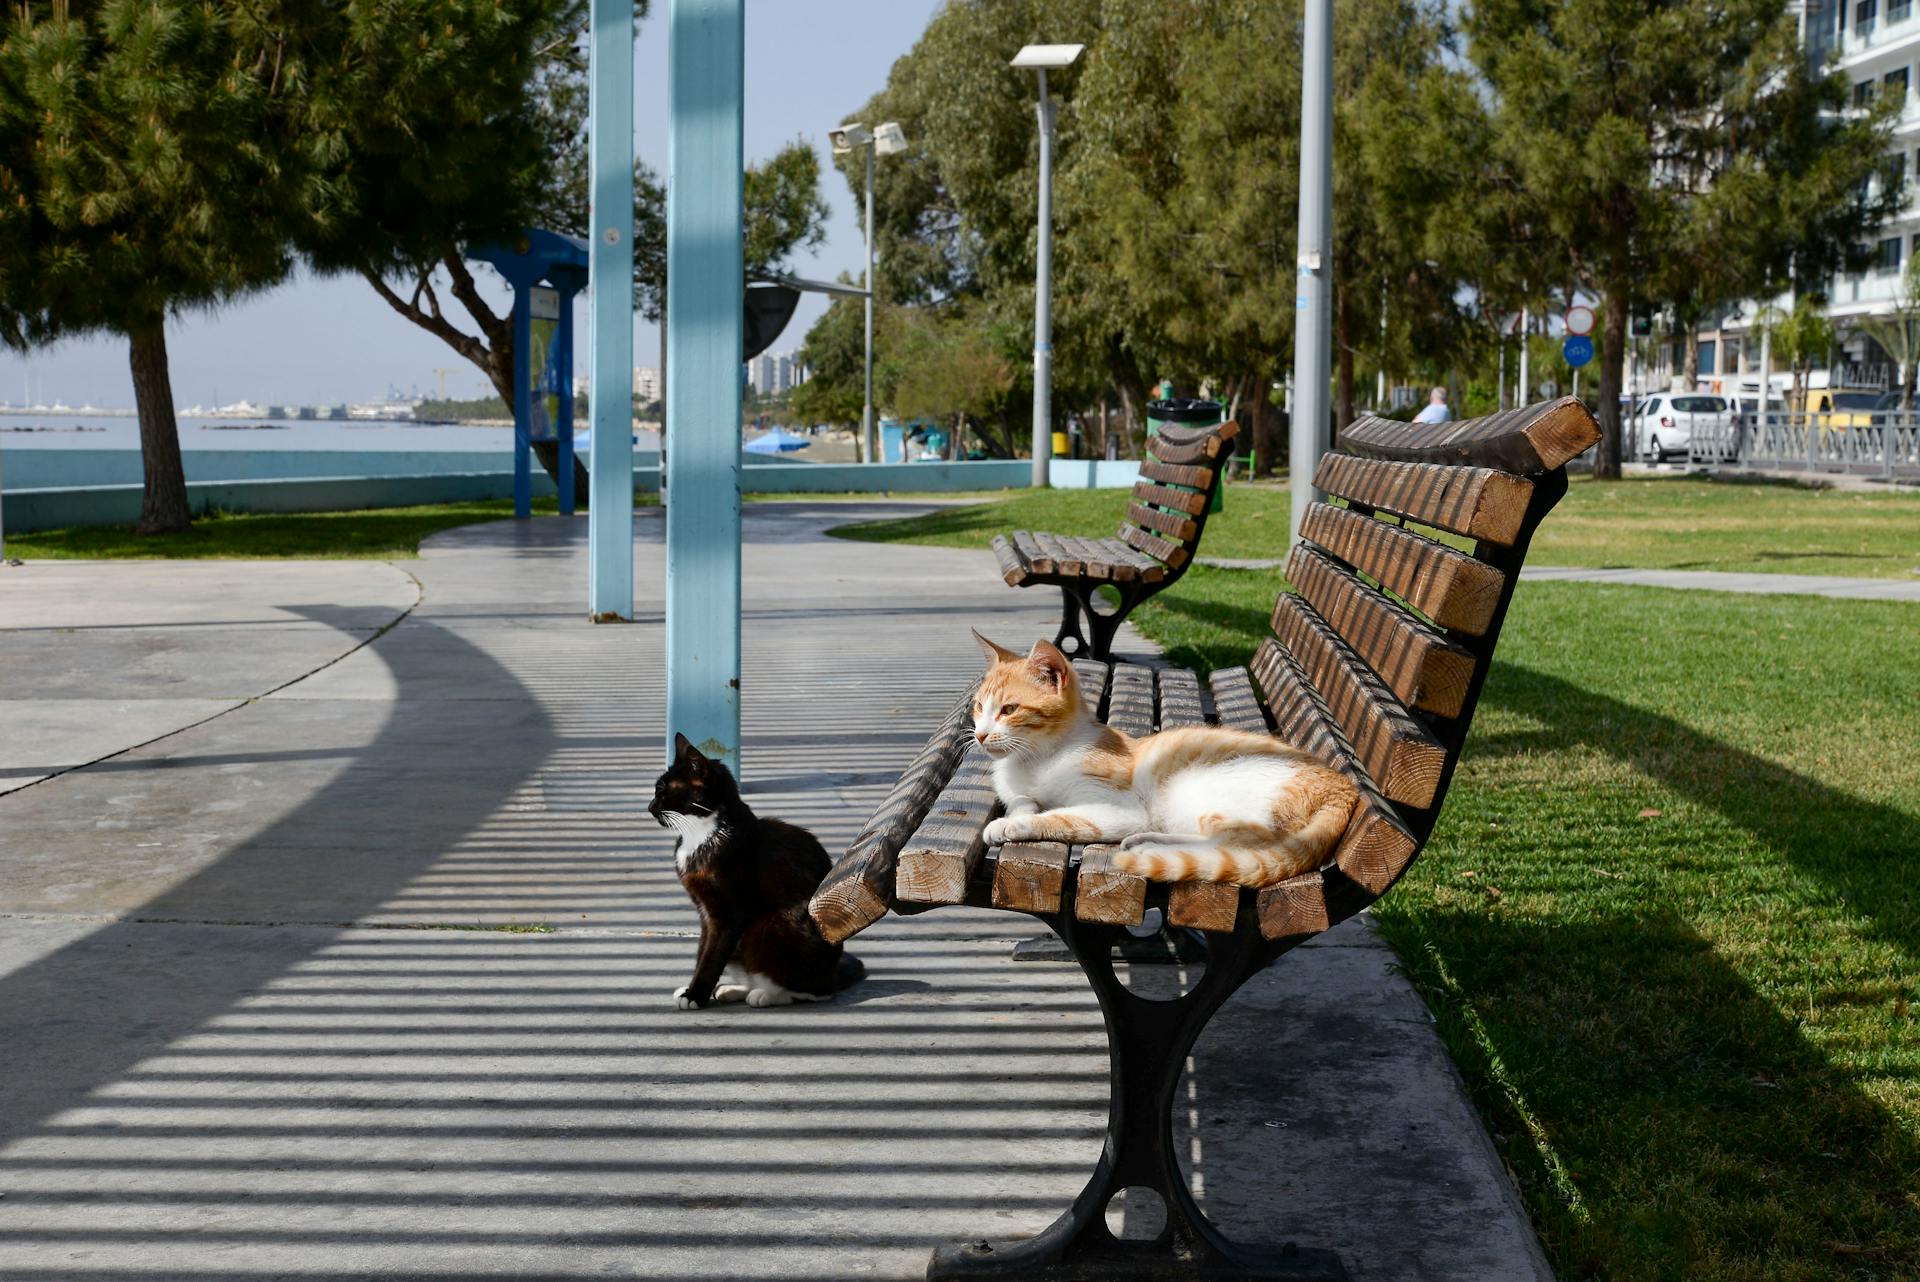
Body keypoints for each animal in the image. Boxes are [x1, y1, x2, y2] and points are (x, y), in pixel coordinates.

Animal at [652, 736, 864, 1005]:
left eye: (663, 790)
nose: (649, 806)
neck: (700, 834)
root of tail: (832, 972)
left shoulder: (730, 914)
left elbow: (712, 955)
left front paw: (695, 996)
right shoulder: (705, 912)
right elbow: (703, 950)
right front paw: (694, 990)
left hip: (771, 926)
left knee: (815, 992)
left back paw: (766, 995)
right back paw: (734, 989)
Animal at [967, 633, 1359, 890]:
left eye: (1009, 709)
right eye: (979, 706)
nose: (981, 735)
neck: (1035, 758)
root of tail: (1343, 785)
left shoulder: (1118, 809)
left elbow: (1060, 817)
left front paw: (1008, 825)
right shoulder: (1018, 788)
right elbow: (1022, 801)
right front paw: (1019, 811)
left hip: (1201, 790)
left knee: (1241, 842)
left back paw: (1150, 847)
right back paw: (1147, 841)